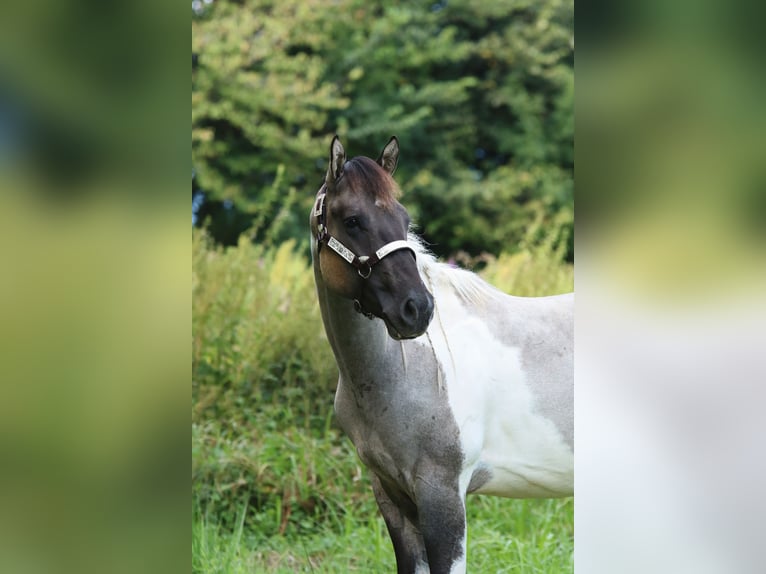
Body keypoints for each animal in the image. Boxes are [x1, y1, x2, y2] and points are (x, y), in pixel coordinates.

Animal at [308, 137, 572, 572]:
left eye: (403, 218)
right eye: (352, 220)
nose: (416, 309)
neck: (401, 369)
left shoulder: (442, 496)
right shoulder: (392, 496)